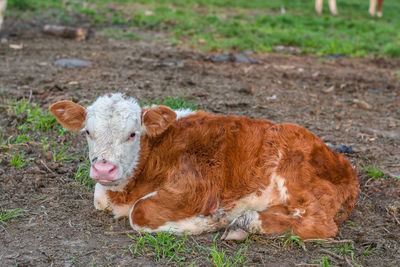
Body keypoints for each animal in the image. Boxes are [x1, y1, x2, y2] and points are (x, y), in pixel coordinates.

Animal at [50, 94, 360, 241]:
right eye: (87, 132)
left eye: (132, 134)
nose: (104, 170)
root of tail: (342, 162)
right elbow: (99, 199)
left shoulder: (196, 187)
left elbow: (140, 212)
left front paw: (208, 221)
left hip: (298, 177)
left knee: (322, 224)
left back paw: (244, 221)